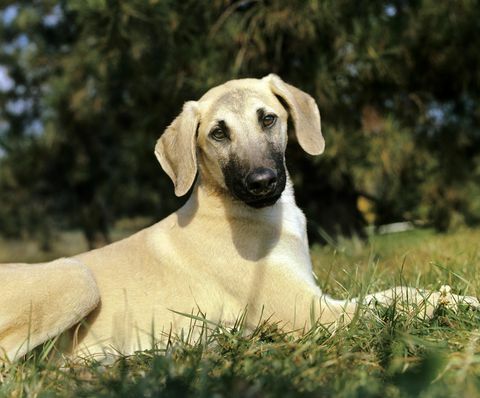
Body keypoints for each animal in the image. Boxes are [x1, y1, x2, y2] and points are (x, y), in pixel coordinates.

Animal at [0, 74, 480, 360]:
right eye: (218, 132)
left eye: (268, 119)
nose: (262, 182)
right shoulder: (315, 314)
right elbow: (400, 300)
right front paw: (452, 304)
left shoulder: (319, 296)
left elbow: (393, 293)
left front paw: (457, 298)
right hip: (77, 276)